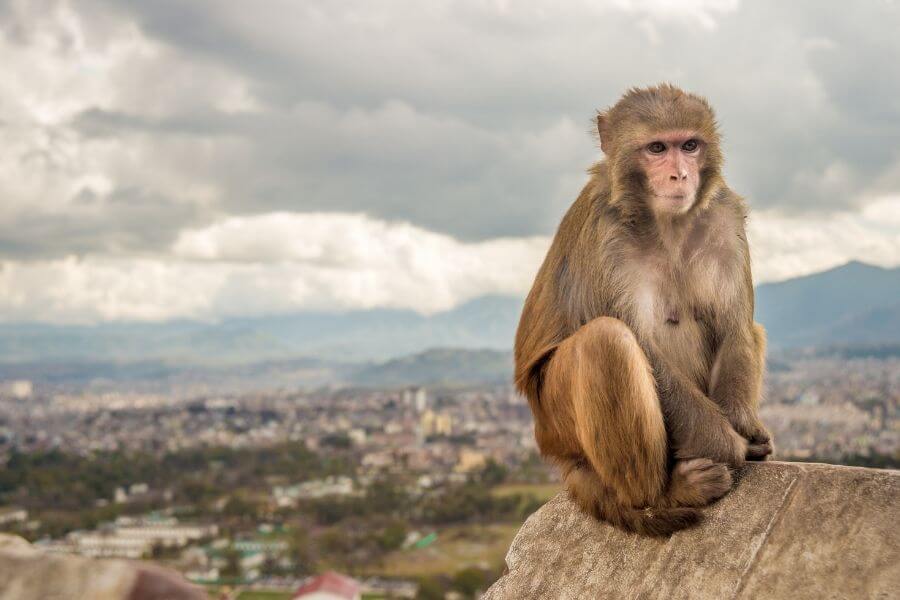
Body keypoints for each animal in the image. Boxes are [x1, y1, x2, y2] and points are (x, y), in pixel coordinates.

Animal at [514, 84, 773, 536]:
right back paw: (662, 496)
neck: (666, 223)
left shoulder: (724, 218)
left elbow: (735, 327)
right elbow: (644, 346)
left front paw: (744, 429)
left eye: (689, 146)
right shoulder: (607, 237)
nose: (680, 175)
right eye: (656, 148)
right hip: (553, 418)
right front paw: (730, 445)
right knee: (606, 341)